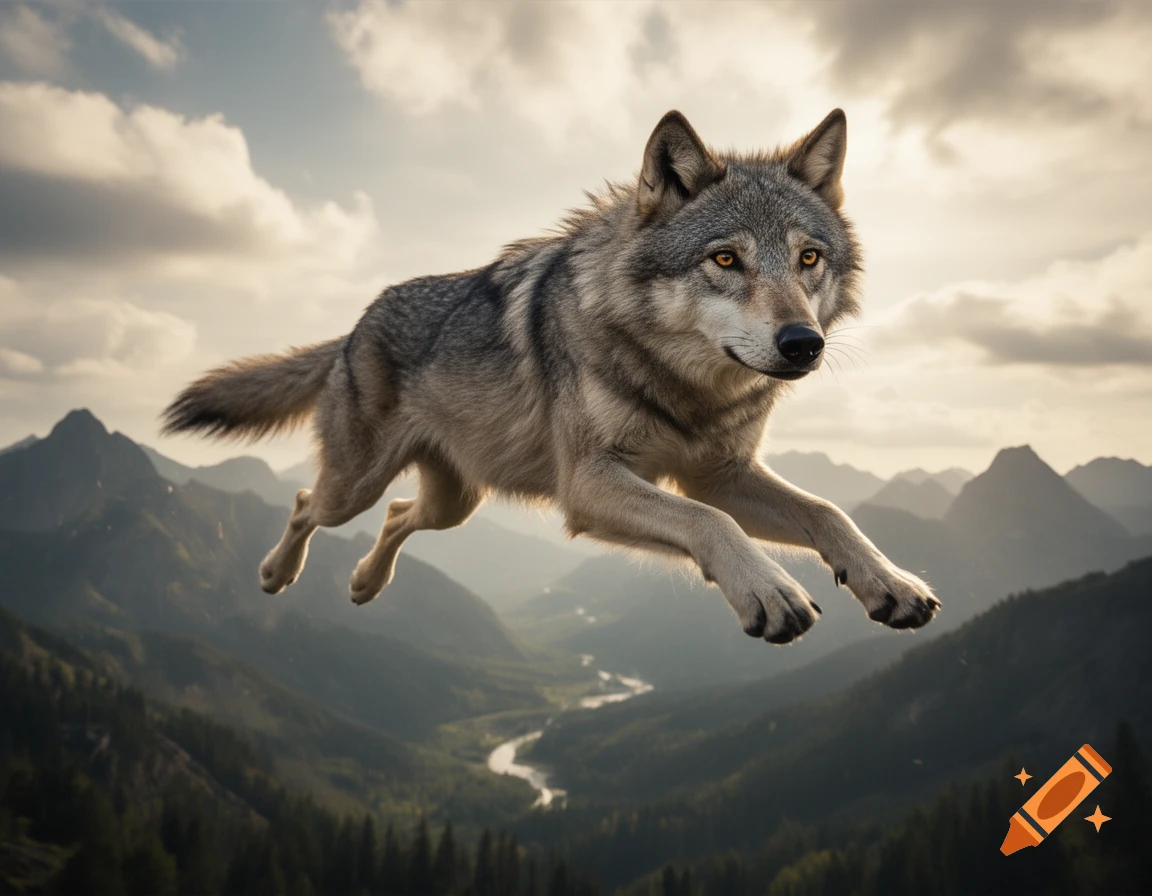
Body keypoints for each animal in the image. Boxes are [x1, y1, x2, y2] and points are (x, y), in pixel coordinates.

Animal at [162, 109, 941, 644]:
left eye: (809, 258)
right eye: (725, 259)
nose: (803, 343)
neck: (686, 388)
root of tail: (354, 326)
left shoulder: (717, 473)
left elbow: (828, 511)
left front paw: (889, 581)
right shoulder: (591, 484)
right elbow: (710, 522)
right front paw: (769, 591)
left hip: (454, 502)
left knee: (397, 516)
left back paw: (363, 584)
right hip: (354, 487)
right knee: (304, 503)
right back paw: (276, 574)